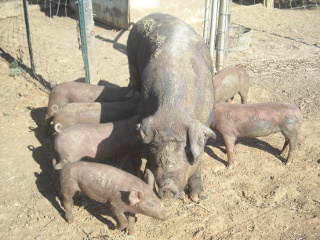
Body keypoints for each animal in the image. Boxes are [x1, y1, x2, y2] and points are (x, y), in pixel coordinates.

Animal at [126, 12, 216, 201]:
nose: (167, 188)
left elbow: (198, 161)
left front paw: (198, 197)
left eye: (185, 148)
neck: (171, 109)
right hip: (131, 60)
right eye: (154, 147)